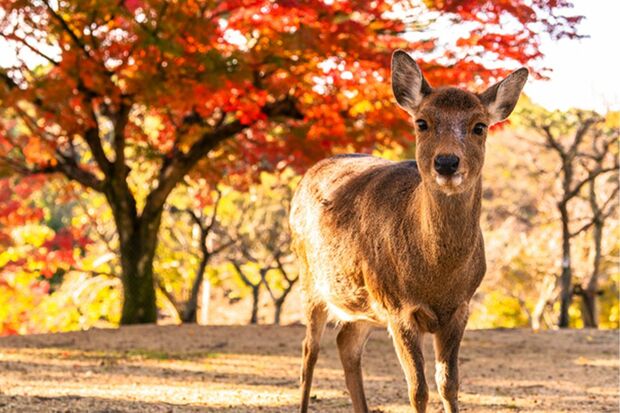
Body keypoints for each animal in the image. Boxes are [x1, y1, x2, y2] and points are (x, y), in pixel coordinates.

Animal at [290, 49, 528, 412]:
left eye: (479, 126)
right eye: (422, 122)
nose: (447, 162)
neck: (436, 277)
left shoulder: (461, 307)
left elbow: (449, 384)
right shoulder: (398, 306)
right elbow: (418, 389)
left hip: (363, 302)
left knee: (346, 342)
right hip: (310, 279)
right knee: (308, 351)